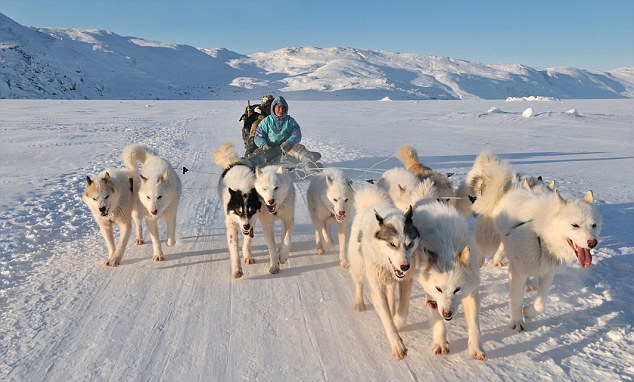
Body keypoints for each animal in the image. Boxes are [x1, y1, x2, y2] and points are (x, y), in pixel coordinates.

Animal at [212, 143, 262, 278]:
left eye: (251, 210)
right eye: (239, 211)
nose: (245, 226)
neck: (243, 187)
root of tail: (233, 163)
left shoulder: (253, 221)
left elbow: (248, 240)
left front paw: (247, 256)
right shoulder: (231, 223)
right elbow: (233, 245)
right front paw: (237, 269)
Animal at [346, 187, 420, 360]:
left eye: (409, 244)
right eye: (392, 244)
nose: (405, 266)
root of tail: (372, 203)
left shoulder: (406, 281)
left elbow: (403, 309)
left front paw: (397, 321)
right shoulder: (377, 288)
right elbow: (386, 318)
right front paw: (397, 344)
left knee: (391, 290)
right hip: (359, 266)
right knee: (359, 283)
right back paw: (359, 302)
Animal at [412, 200, 486, 362]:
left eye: (457, 290)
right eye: (439, 289)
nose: (447, 313)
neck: (447, 248)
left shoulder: (471, 293)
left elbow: (474, 325)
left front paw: (476, 349)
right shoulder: (432, 295)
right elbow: (438, 321)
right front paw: (440, 344)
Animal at [492, 188, 600, 332]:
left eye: (593, 225)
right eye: (575, 225)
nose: (593, 242)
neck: (542, 237)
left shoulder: (548, 272)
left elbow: (540, 304)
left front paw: (528, 311)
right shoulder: (520, 271)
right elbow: (516, 299)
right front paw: (517, 321)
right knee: (503, 250)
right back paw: (498, 260)